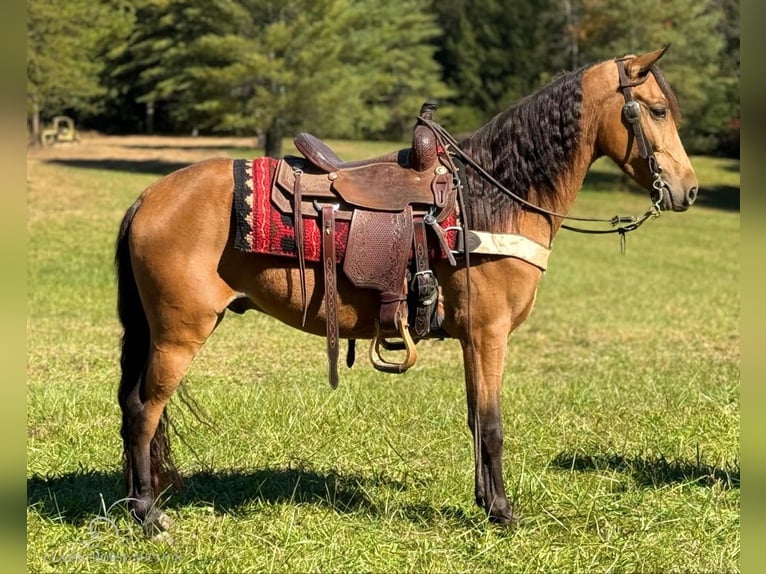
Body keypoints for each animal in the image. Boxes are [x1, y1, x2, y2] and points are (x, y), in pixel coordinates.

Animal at [115, 47, 704, 536]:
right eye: (655, 110)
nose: (689, 189)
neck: (491, 198)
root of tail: (148, 196)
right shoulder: (489, 334)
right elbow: (492, 424)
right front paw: (504, 513)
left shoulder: (472, 339)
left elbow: (474, 418)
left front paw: (484, 503)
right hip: (179, 333)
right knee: (144, 409)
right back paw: (147, 515)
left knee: (131, 405)